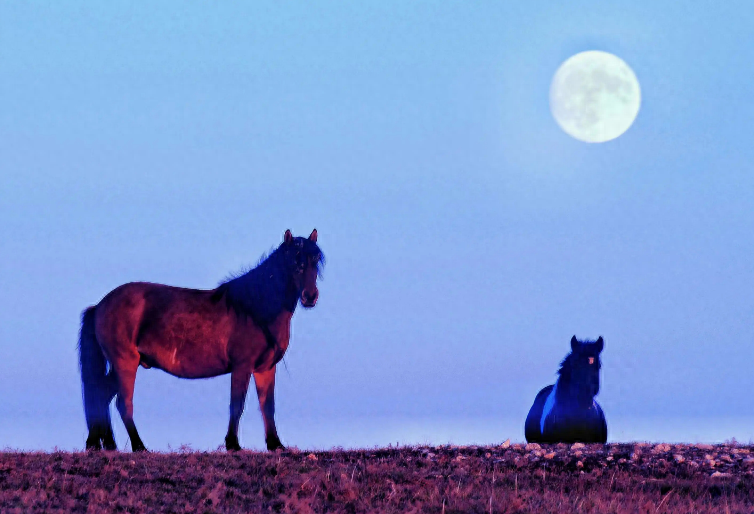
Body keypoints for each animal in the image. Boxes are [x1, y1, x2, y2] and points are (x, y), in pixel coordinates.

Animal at [78, 228, 322, 448]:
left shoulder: (265, 368)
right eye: (294, 262)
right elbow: (237, 405)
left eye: (316, 260)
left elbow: (267, 406)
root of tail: (100, 306)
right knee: (123, 403)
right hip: (125, 362)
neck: (254, 308)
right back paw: (138, 447)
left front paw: (275, 445)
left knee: (101, 395)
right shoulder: (242, 366)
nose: (310, 296)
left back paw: (102, 444)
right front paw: (233, 444)